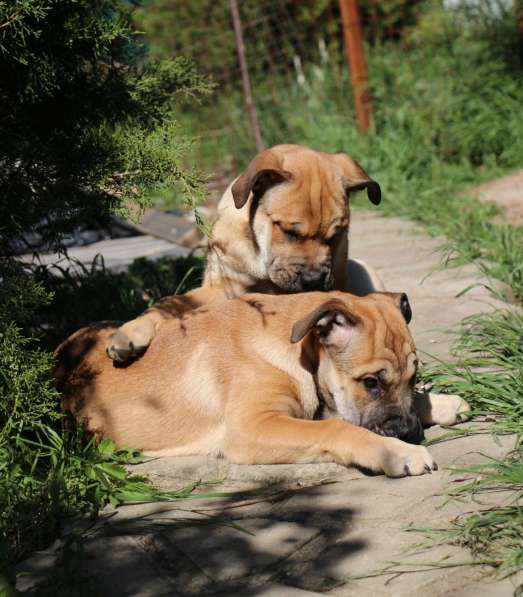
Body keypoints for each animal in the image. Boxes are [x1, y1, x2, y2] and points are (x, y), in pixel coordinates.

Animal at [57, 292, 470, 478]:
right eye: (370, 383)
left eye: (414, 377)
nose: (410, 433)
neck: (297, 351)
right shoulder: (252, 426)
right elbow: (338, 428)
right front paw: (397, 451)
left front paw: (439, 403)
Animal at [107, 143, 384, 364]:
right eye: (289, 232)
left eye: (336, 235)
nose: (314, 280)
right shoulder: (221, 288)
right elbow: (171, 302)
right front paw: (130, 332)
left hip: (361, 267)